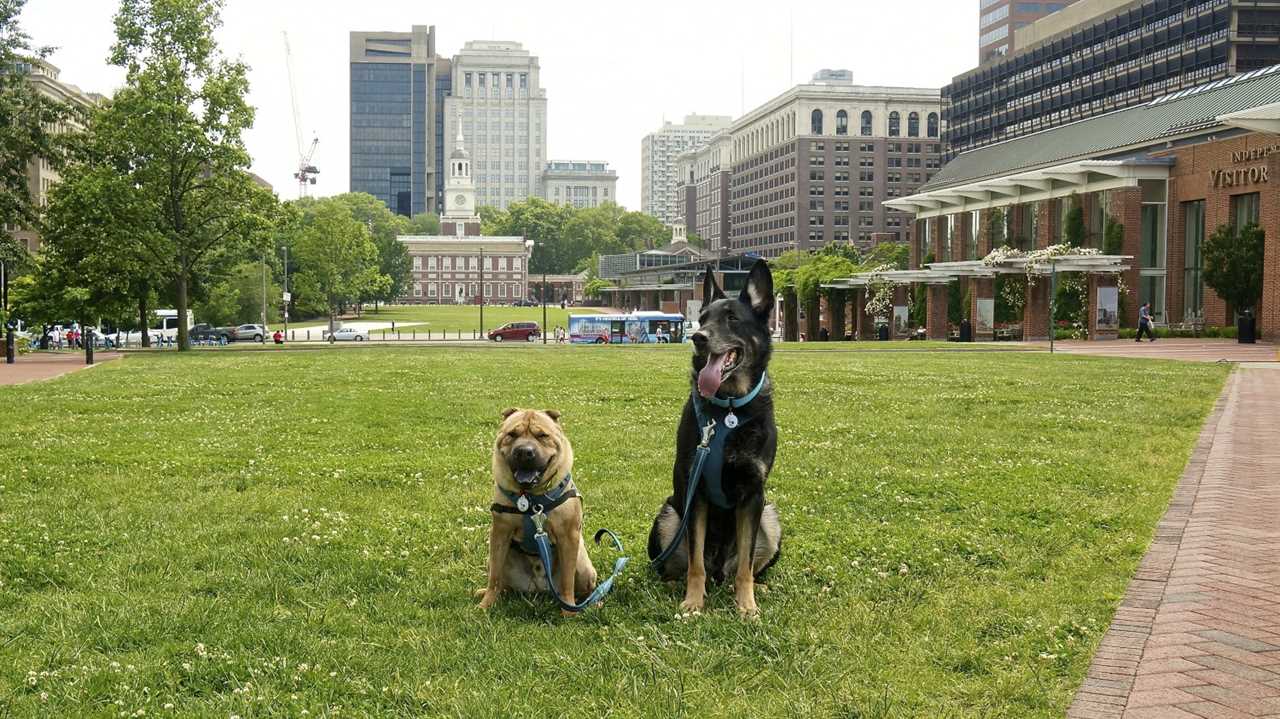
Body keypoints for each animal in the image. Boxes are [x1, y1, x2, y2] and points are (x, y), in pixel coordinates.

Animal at [478, 406, 596, 614]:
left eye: (542, 435)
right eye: (512, 434)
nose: (524, 452)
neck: (530, 497)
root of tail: (540, 587)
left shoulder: (568, 536)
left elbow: (567, 581)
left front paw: (569, 611)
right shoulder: (499, 532)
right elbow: (494, 578)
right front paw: (486, 605)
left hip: (583, 565)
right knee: (501, 583)